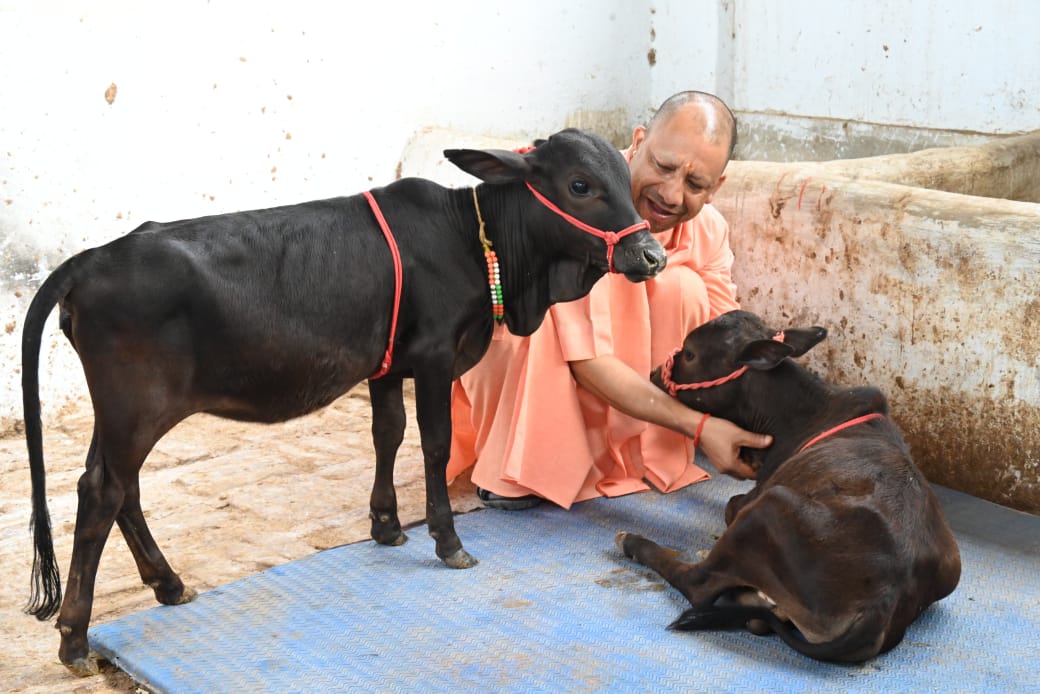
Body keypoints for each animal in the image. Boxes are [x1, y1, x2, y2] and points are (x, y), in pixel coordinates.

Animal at [24, 129, 665, 674]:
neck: (476, 245)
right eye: (579, 185)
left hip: (118, 415)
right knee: (102, 492)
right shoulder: (434, 355)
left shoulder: (386, 364)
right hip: (136, 407)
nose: (651, 256)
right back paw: (75, 638)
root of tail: (92, 258)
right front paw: (448, 541)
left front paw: (386, 526)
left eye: (626, 180)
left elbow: (388, 433)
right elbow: (432, 444)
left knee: (115, 487)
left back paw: (169, 584)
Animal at [611, 310, 960, 661]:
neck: (793, 414)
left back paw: (632, 542)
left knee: (699, 584)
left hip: (766, 508)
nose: (655, 372)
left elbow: (730, 505)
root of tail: (884, 601)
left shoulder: (751, 497)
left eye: (690, 354)